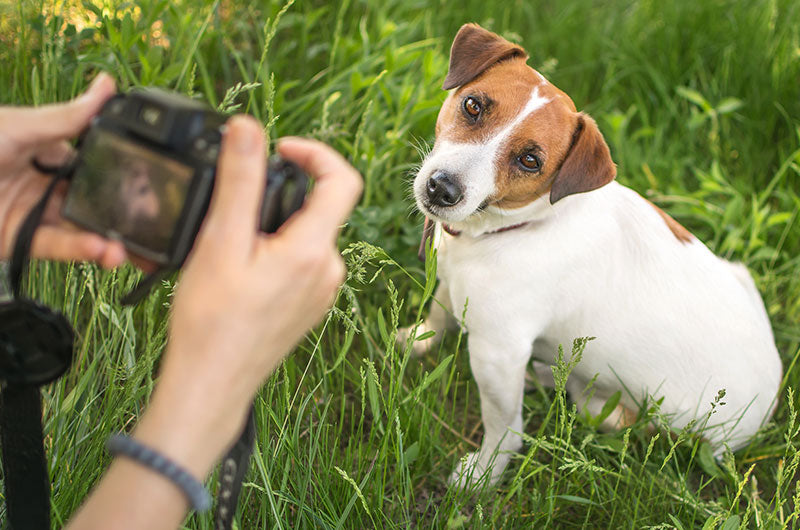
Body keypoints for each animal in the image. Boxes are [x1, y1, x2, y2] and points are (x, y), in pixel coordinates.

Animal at [400, 24, 780, 484]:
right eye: (473, 106)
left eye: (530, 160)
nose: (442, 188)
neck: (520, 227)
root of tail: (768, 407)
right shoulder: (452, 283)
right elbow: (438, 316)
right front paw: (416, 340)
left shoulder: (498, 352)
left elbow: (503, 426)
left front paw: (484, 472)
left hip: (630, 416)